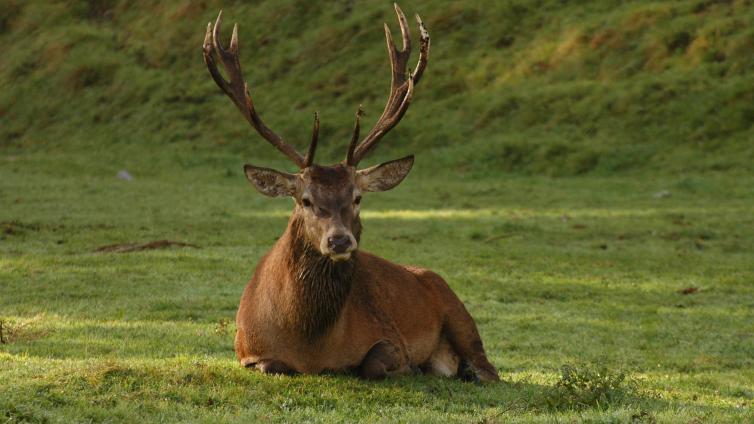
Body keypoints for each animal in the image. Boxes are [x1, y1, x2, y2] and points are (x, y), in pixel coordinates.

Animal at [201, 3, 500, 382]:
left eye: (357, 198)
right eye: (305, 200)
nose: (340, 240)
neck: (311, 347)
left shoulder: (390, 336)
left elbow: (372, 363)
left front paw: (408, 368)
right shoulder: (247, 349)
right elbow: (273, 365)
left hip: (459, 312)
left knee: (488, 369)